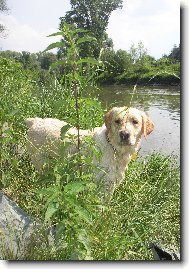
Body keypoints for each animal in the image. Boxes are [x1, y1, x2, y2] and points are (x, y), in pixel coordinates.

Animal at [25, 106, 154, 197]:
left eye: (135, 121)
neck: (114, 149)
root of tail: (35, 121)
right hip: (41, 164)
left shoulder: (110, 184)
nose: (124, 134)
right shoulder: (98, 183)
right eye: (117, 121)